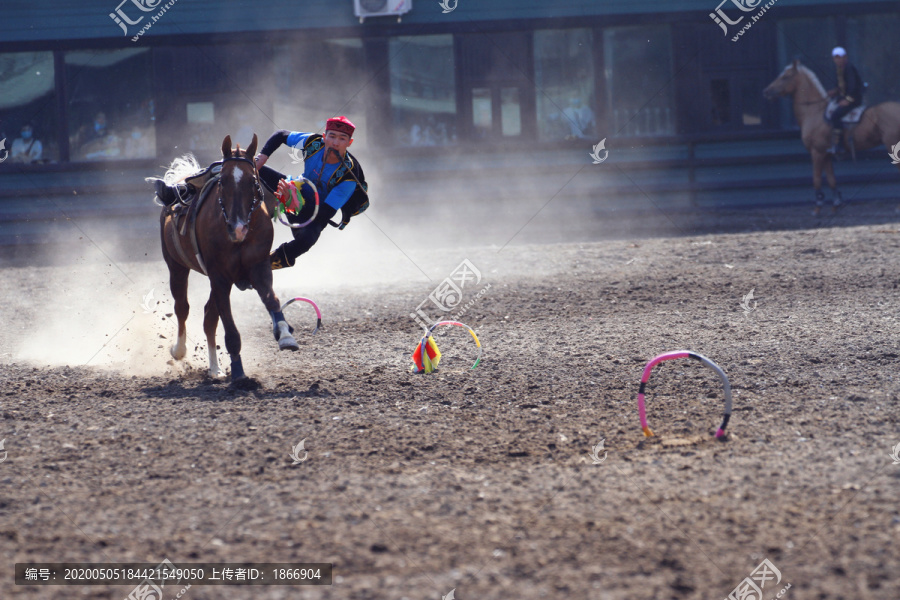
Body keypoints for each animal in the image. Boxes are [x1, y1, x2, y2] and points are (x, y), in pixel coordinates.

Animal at [154, 134, 296, 382]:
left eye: (254, 182)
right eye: (222, 183)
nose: (237, 228)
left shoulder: (259, 267)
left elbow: (272, 300)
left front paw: (286, 335)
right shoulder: (219, 276)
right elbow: (229, 328)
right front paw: (238, 373)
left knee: (209, 318)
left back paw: (215, 368)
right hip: (177, 266)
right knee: (182, 307)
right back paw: (179, 350)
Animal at [764, 59, 900, 213]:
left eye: (785, 77)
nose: (766, 91)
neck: (814, 112)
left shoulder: (817, 152)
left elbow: (816, 179)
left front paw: (817, 207)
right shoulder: (826, 154)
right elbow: (831, 179)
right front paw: (836, 204)